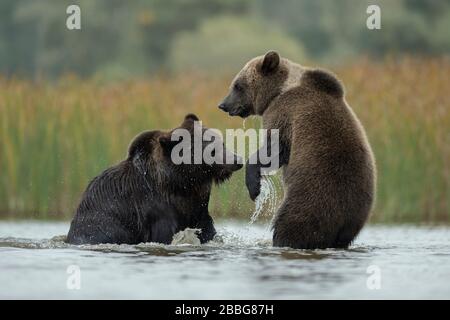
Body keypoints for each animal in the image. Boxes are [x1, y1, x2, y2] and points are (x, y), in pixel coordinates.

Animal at [66, 114, 243, 245]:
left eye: (221, 142)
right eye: (211, 150)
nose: (237, 160)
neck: (182, 183)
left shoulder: (198, 208)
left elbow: (207, 231)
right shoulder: (156, 209)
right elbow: (164, 234)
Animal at [220, 50, 374, 250]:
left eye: (238, 85)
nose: (223, 105)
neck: (277, 91)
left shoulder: (284, 114)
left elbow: (274, 150)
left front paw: (254, 188)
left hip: (311, 199)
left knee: (291, 224)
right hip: (355, 215)